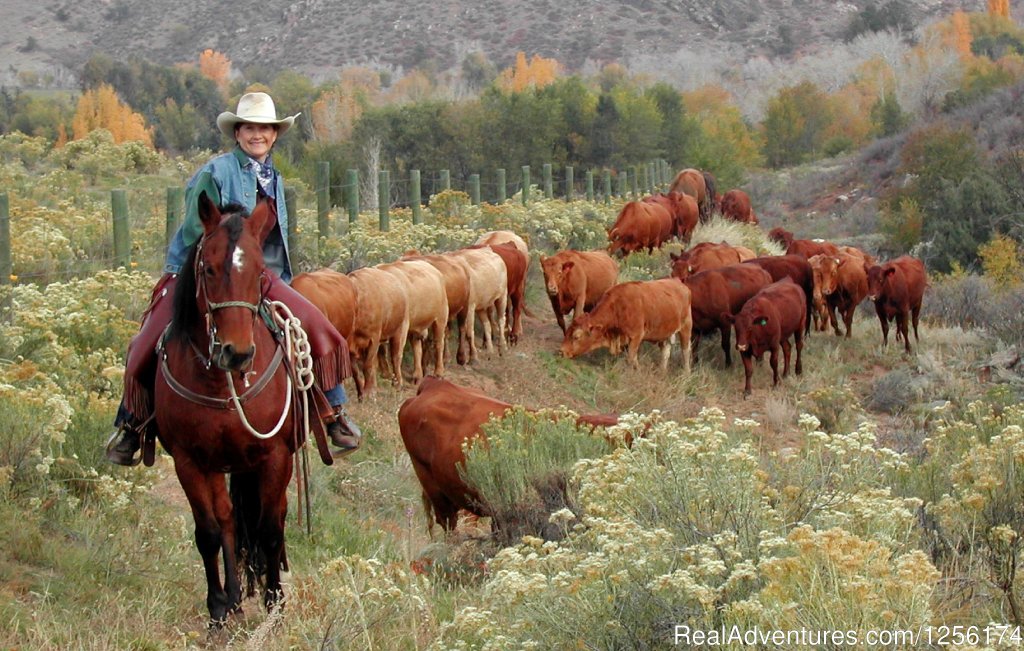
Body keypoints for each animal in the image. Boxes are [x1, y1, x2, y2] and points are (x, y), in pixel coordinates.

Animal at [153, 193, 296, 626]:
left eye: (259, 272)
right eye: (209, 268)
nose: (237, 352)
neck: (223, 384)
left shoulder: (275, 455)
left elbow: (269, 529)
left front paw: (274, 605)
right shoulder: (190, 460)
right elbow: (210, 532)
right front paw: (218, 608)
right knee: (228, 518)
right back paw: (232, 597)